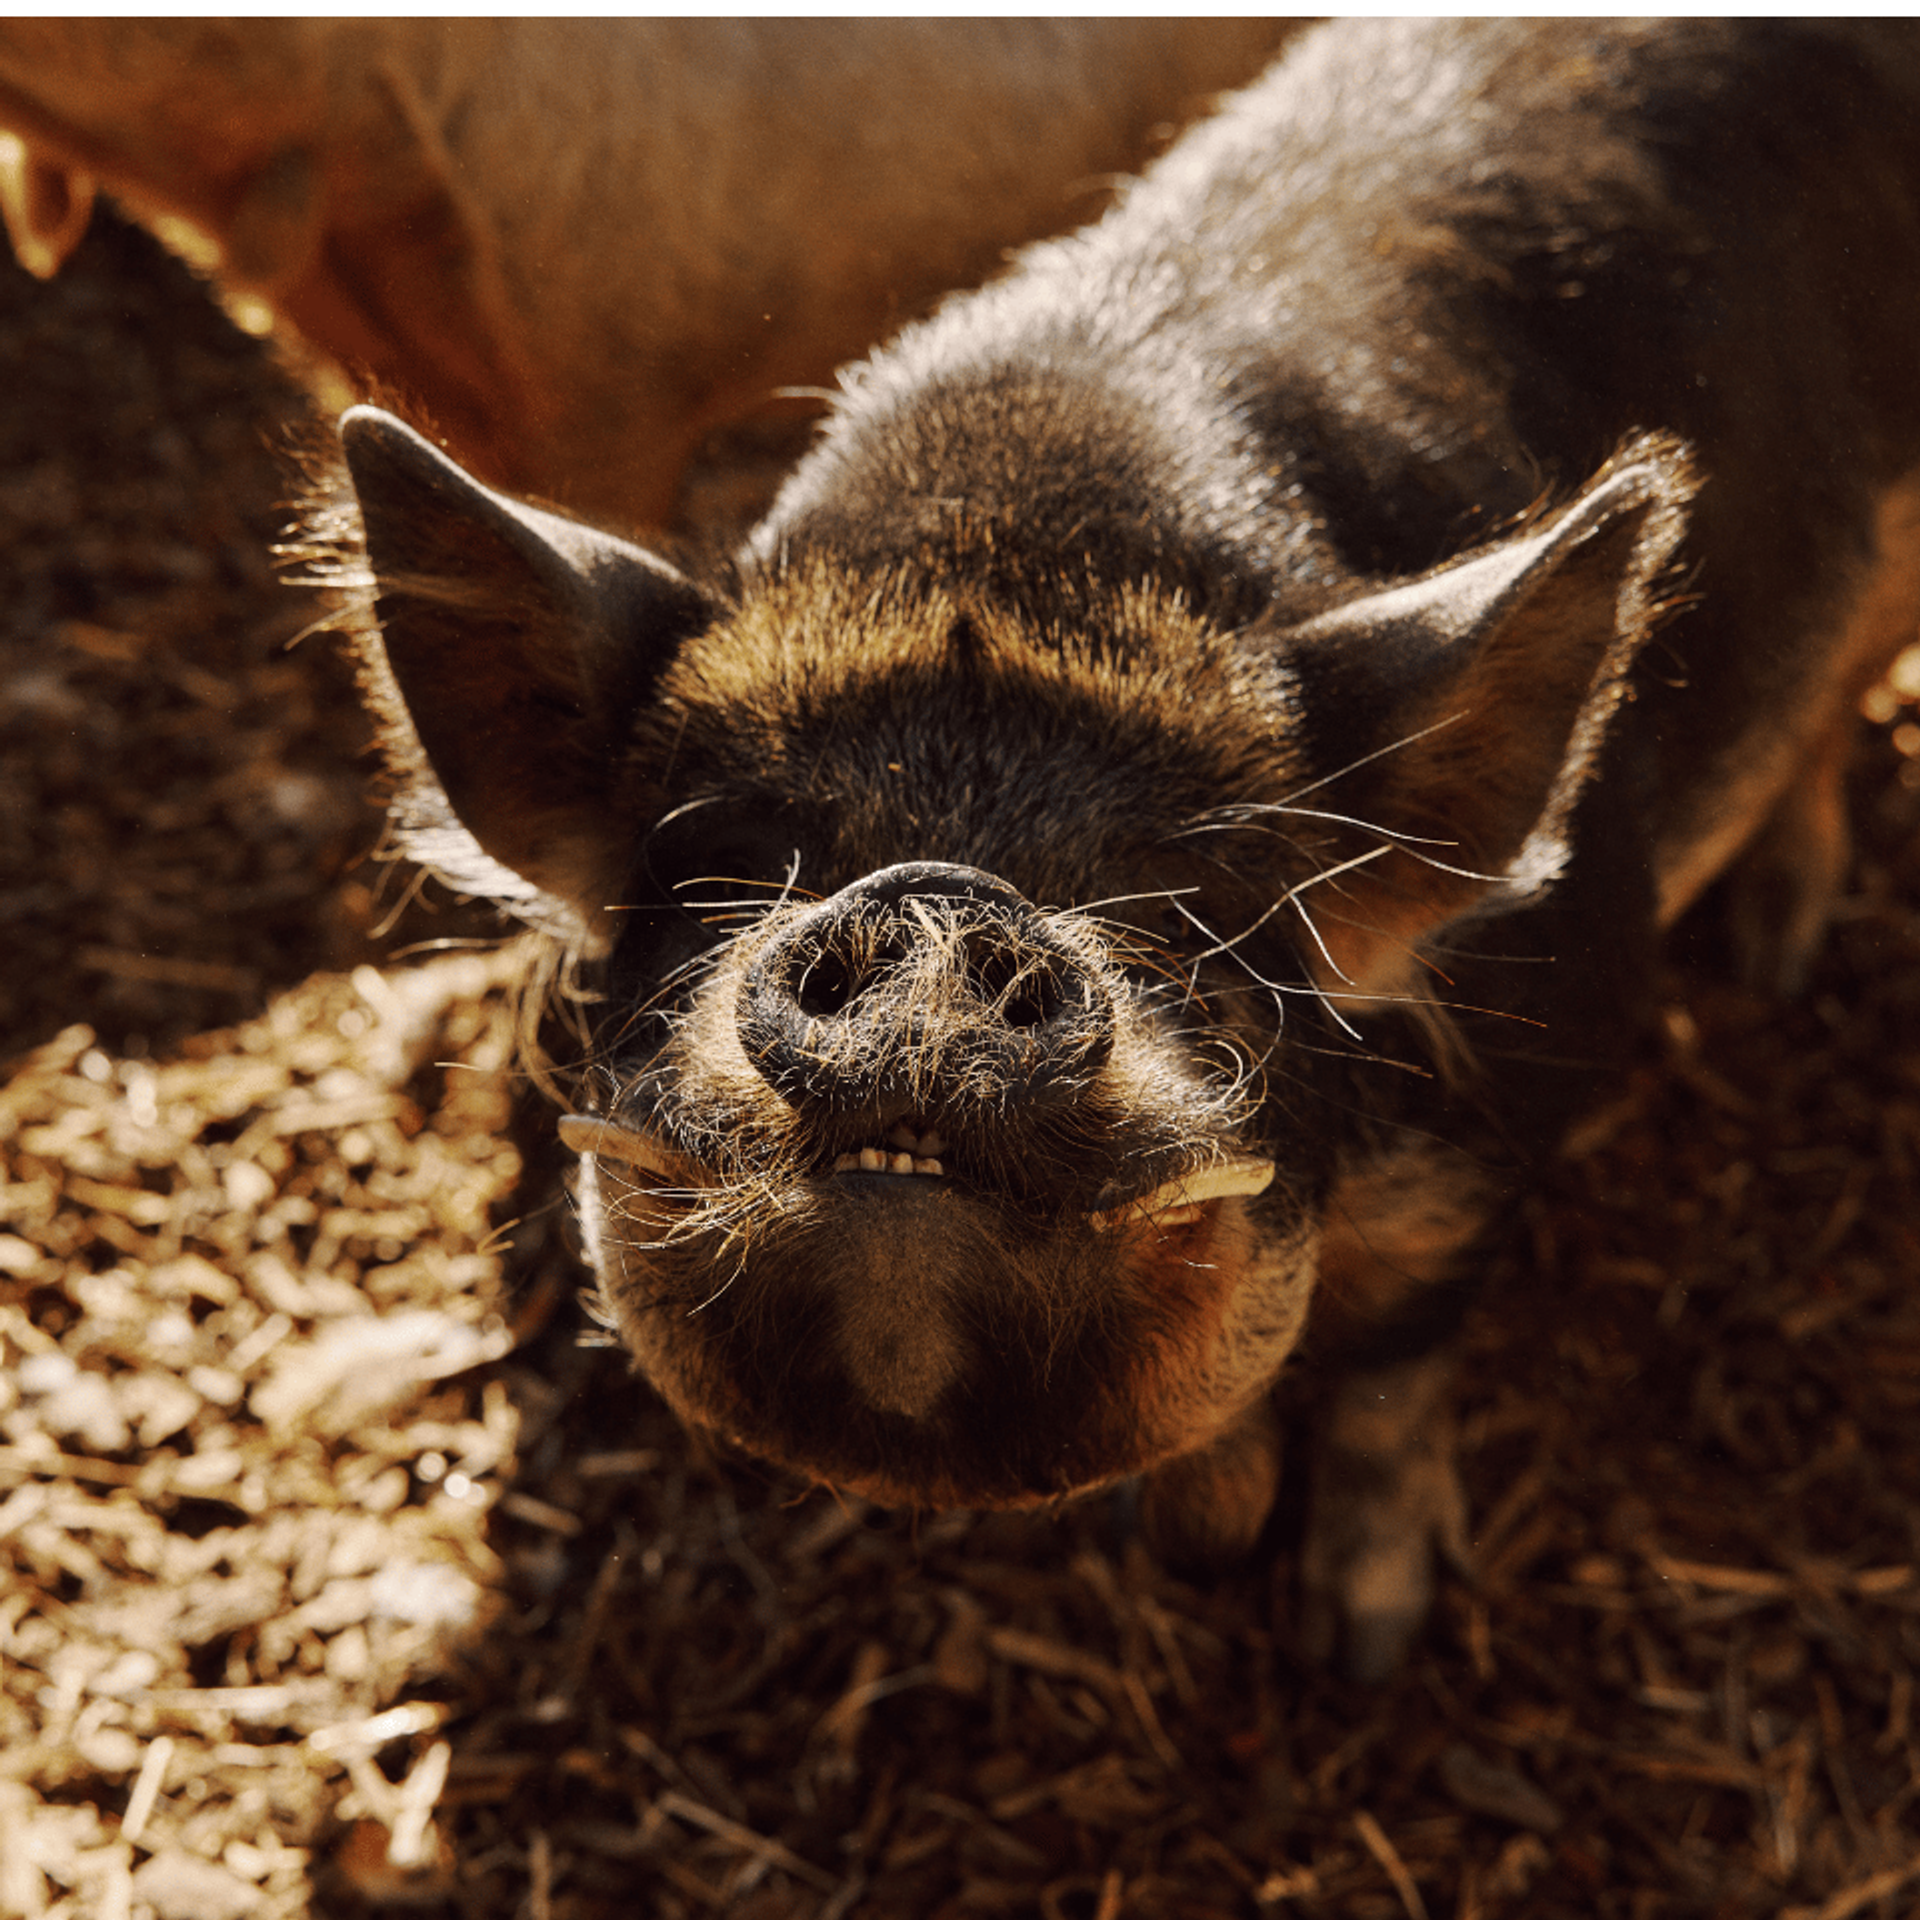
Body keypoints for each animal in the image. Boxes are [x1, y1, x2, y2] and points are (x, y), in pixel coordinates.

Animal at [323, 20, 1920, 1679]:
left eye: (1186, 907)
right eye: (730, 864)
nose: (939, 906)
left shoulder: (1542, 1063)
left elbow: (1395, 1351)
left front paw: (1359, 1642)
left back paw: (1775, 949)